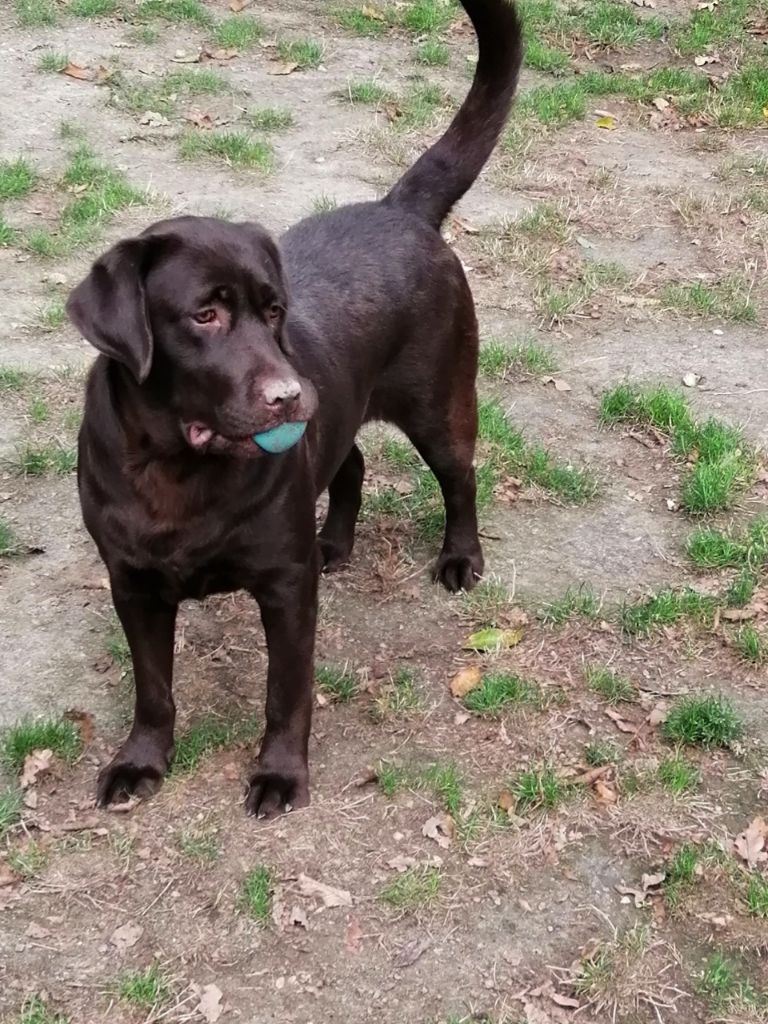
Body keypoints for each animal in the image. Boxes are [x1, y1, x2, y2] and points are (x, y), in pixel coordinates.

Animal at [67, 0, 524, 815]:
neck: (180, 468)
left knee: (461, 476)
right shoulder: (133, 583)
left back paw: (459, 558)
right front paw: (141, 761)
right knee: (353, 461)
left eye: (274, 311)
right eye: (205, 315)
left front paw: (279, 773)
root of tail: (399, 208)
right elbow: (154, 690)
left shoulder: (283, 585)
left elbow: (287, 688)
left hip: (440, 405)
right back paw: (335, 541)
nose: (290, 395)